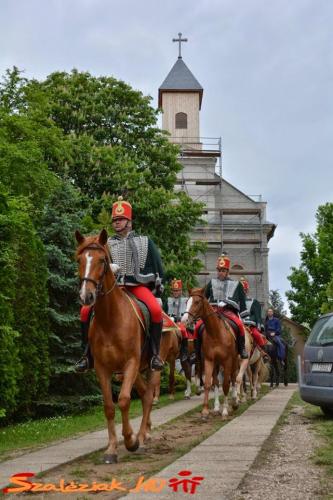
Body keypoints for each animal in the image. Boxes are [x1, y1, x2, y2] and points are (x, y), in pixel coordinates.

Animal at [74, 230, 164, 464]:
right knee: (143, 392)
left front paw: (131, 440)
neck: (110, 319)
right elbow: (108, 407)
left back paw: (141, 437)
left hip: (150, 366)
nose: (86, 296)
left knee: (148, 396)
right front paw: (112, 449)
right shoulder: (102, 368)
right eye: (80, 260)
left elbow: (123, 400)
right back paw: (144, 432)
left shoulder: (130, 363)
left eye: (102, 260)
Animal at [180, 288, 248, 420]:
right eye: (187, 301)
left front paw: (225, 411)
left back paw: (235, 401)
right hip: (216, 363)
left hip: (234, 361)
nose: (184, 320)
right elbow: (207, 383)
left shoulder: (227, 361)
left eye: (197, 302)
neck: (216, 333)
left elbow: (226, 384)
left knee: (233, 378)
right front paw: (205, 411)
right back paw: (217, 408)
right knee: (216, 382)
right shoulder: (209, 360)